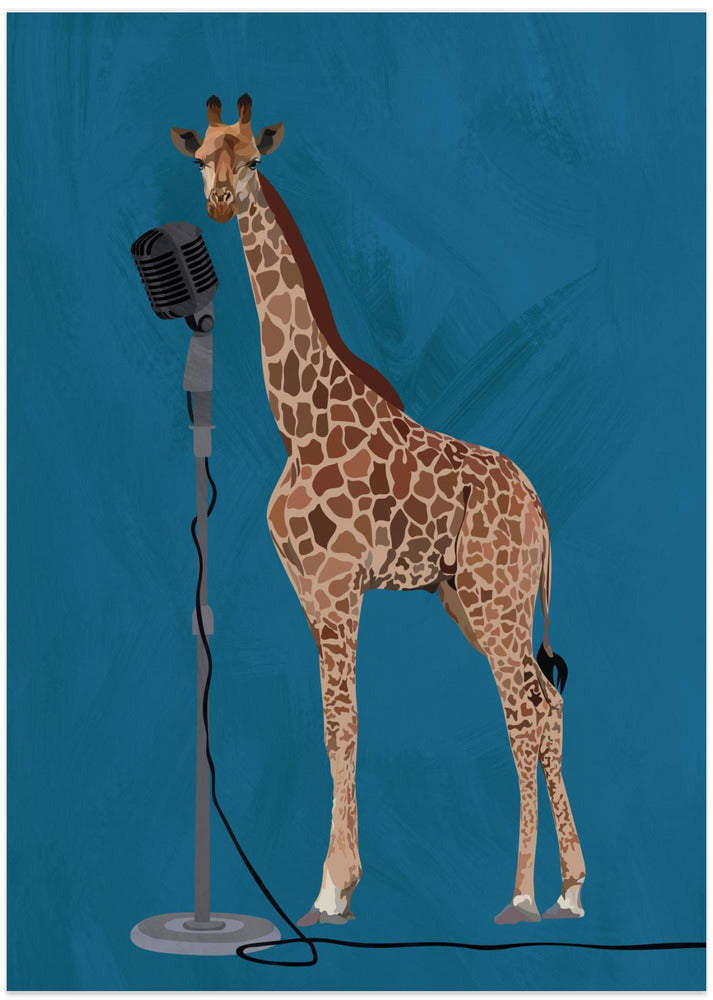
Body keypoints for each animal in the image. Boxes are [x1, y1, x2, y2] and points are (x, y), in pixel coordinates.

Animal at [171, 94, 586, 927]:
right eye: (201, 158)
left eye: (253, 159)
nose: (221, 201)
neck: (298, 420)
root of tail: (539, 508)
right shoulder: (309, 591)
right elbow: (334, 728)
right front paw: (336, 883)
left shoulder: (338, 588)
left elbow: (343, 726)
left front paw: (333, 888)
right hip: (473, 600)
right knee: (546, 701)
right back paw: (570, 888)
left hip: (496, 600)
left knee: (522, 715)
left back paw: (521, 895)